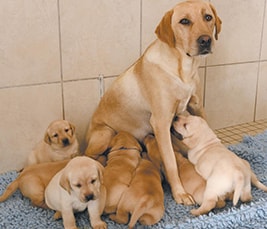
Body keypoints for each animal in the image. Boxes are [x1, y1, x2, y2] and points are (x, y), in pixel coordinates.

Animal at [85, 0, 222, 204]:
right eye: (184, 21)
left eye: (208, 17)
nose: (205, 40)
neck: (183, 68)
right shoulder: (161, 122)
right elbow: (171, 163)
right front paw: (180, 193)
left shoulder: (197, 106)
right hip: (105, 134)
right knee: (88, 155)